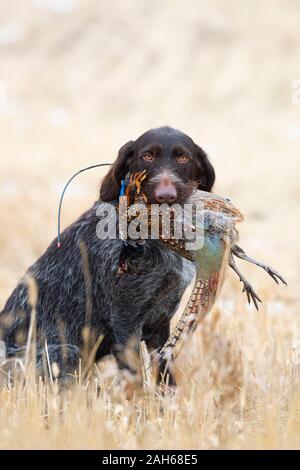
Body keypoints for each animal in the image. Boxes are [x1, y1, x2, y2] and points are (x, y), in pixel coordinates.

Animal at [0, 126, 216, 384]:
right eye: (147, 156)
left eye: (183, 157)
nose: (165, 195)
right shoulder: (125, 322)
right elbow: (137, 381)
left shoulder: (160, 325)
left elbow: (166, 378)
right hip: (67, 352)